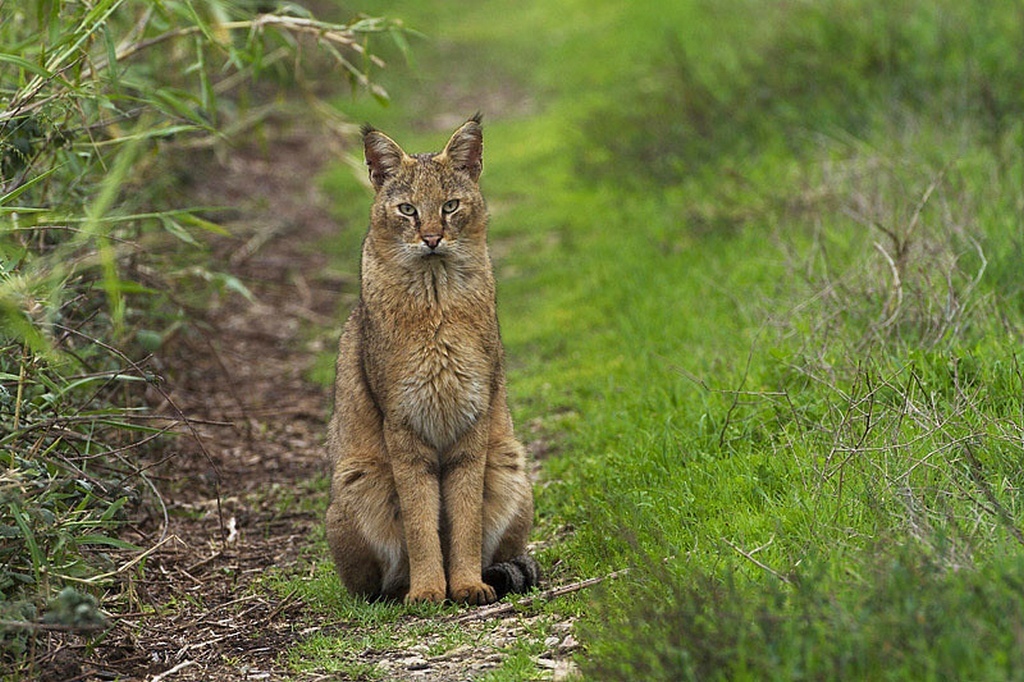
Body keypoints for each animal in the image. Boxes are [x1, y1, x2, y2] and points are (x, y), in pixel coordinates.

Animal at [325, 114, 536, 602]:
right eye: (407, 210)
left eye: (451, 205)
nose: (432, 238)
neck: (435, 298)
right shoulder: (404, 426)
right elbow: (420, 520)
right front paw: (426, 589)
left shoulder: (472, 421)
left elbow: (465, 519)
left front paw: (467, 583)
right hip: (359, 479)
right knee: (372, 582)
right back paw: (400, 589)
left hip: (509, 463)